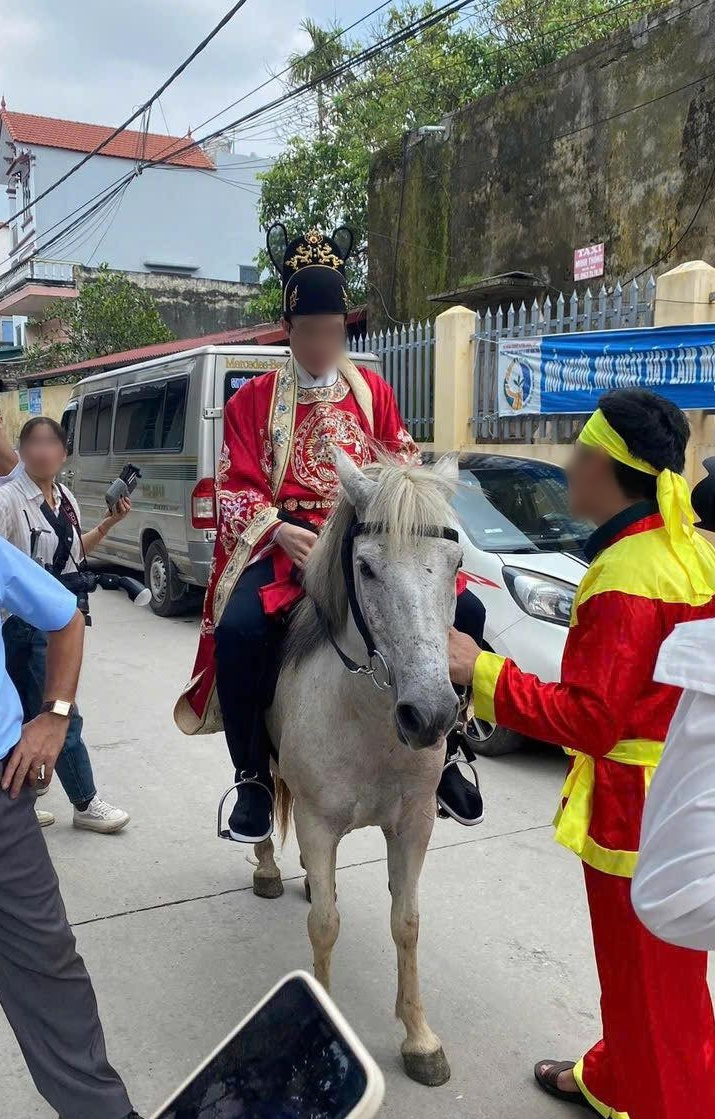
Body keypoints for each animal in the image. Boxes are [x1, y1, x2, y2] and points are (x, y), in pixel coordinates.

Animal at [255, 449, 461, 1087]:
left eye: (456, 565)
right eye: (366, 568)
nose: (430, 713)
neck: (369, 722)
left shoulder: (414, 823)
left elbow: (407, 922)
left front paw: (420, 1038)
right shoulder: (318, 823)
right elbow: (325, 926)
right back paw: (267, 865)